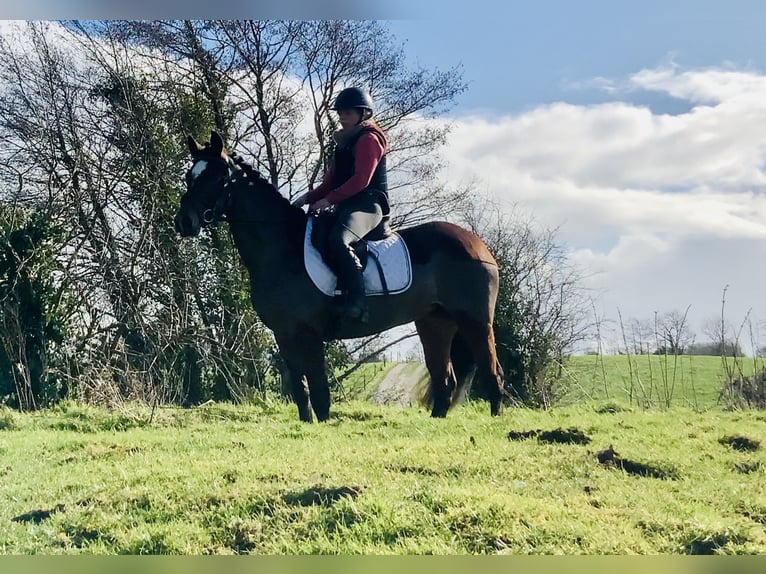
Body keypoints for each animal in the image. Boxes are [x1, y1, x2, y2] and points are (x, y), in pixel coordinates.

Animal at [176, 133, 508, 426]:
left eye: (217, 177)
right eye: (191, 176)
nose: (184, 223)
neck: (282, 248)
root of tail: (477, 244)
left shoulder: (309, 334)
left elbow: (320, 390)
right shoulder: (284, 334)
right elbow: (301, 390)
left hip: (476, 322)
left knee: (492, 372)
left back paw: (496, 423)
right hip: (434, 323)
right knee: (444, 379)